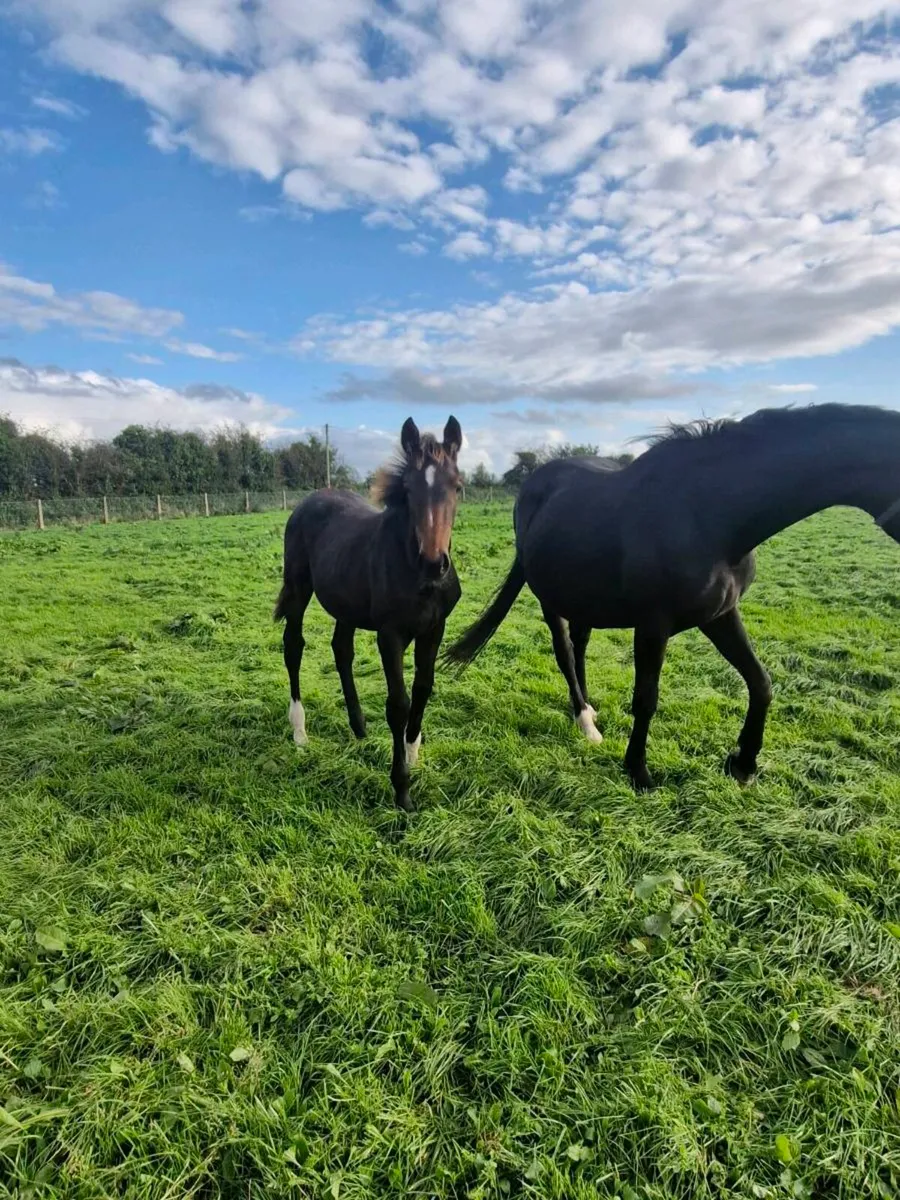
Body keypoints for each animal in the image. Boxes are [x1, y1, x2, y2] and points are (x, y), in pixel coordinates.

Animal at [274, 416, 463, 811]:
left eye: (457, 485)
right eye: (407, 488)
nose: (434, 563)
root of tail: (309, 500)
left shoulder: (434, 628)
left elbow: (423, 688)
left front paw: (412, 754)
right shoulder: (390, 635)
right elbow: (398, 703)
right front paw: (402, 790)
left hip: (345, 603)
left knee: (341, 649)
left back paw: (359, 727)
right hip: (298, 589)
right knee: (293, 646)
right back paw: (300, 732)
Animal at [444, 403, 900, 790]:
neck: (710, 514)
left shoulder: (721, 614)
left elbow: (761, 682)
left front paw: (743, 764)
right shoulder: (653, 624)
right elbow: (646, 698)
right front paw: (639, 773)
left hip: (584, 598)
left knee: (580, 646)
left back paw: (589, 709)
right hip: (551, 598)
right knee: (565, 653)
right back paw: (585, 720)